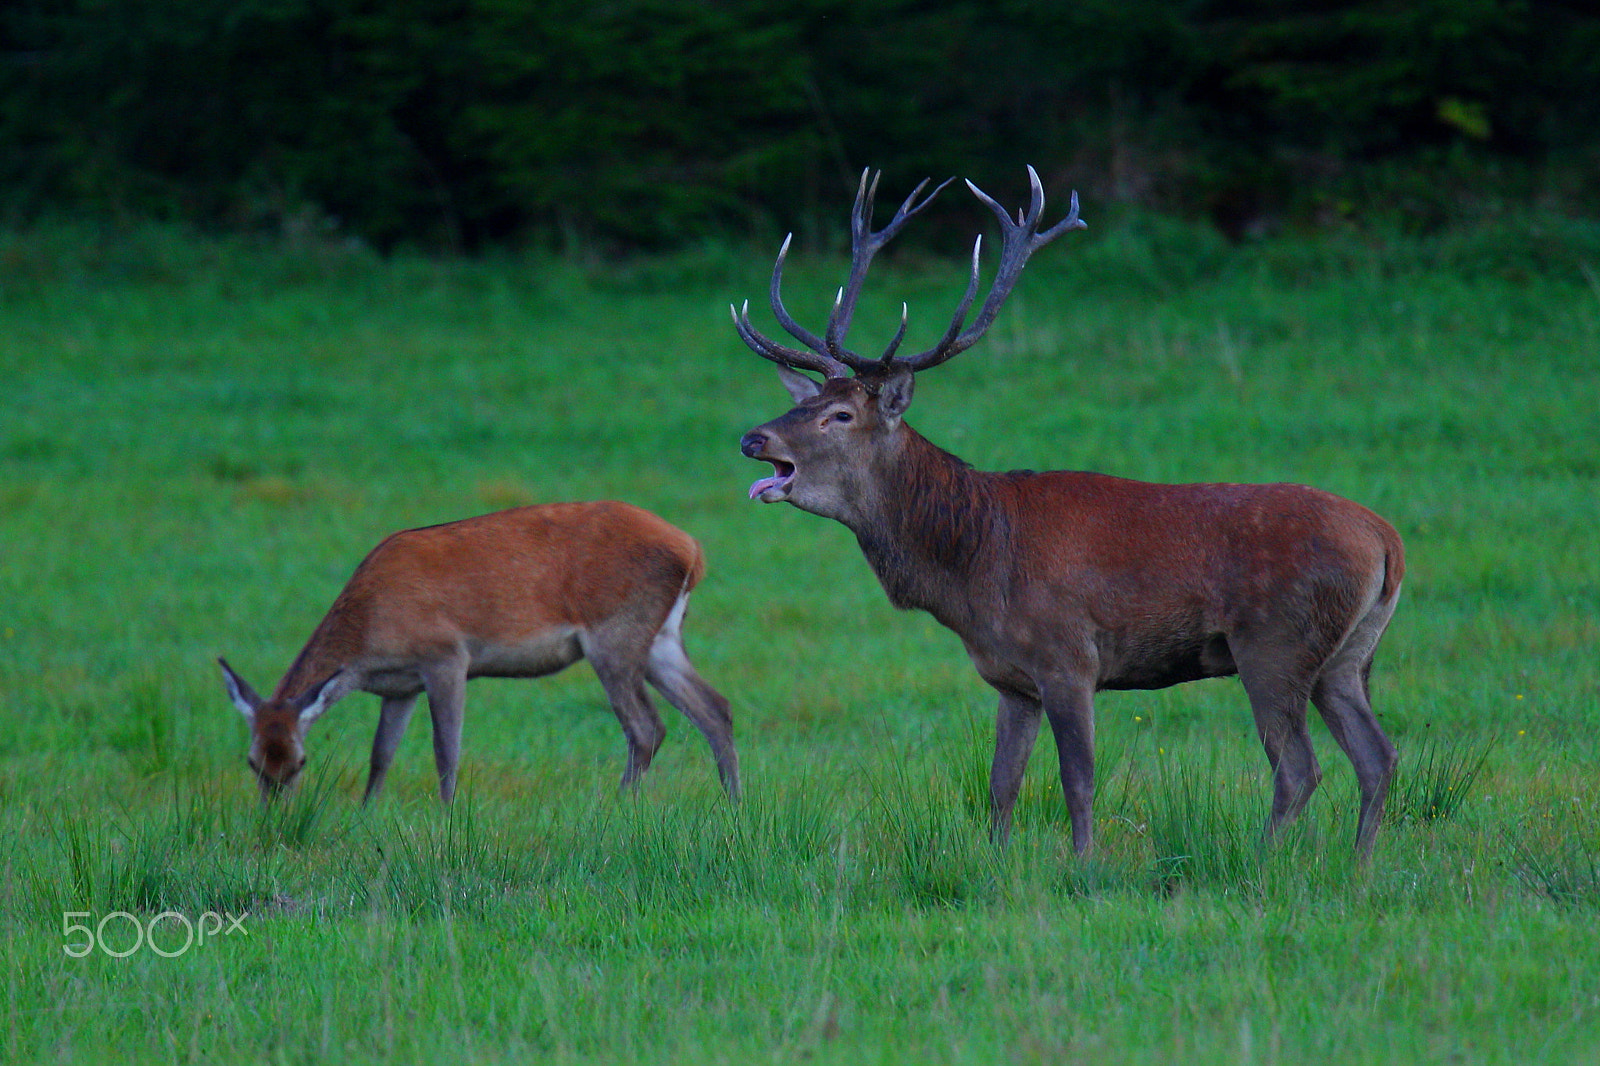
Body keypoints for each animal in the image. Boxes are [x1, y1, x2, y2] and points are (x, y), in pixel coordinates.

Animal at [218, 501, 739, 804]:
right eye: (253, 761)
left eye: (301, 761)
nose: (276, 818)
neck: (368, 638)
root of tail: (693, 550)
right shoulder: (399, 686)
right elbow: (381, 754)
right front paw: (367, 814)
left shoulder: (446, 657)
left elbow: (445, 750)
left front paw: (446, 817)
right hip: (661, 638)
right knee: (715, 707)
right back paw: (733, 804)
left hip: (616, 634)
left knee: (646, 725)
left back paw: (618, 806)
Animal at [734, 167, 1404, 858]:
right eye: (805, 401)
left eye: (840, 415)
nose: (754, 439)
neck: (974, 566)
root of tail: (1387, 541)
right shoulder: (1011, 678)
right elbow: (1001, 786)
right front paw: (999, 865)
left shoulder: (1068, 657)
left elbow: (1076, 780)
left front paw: (1084, 867)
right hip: (1347, 654)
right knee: (1377, 756)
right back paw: (1359, 866)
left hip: (1275, 642)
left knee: (1299, 767)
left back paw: (1262, 863)